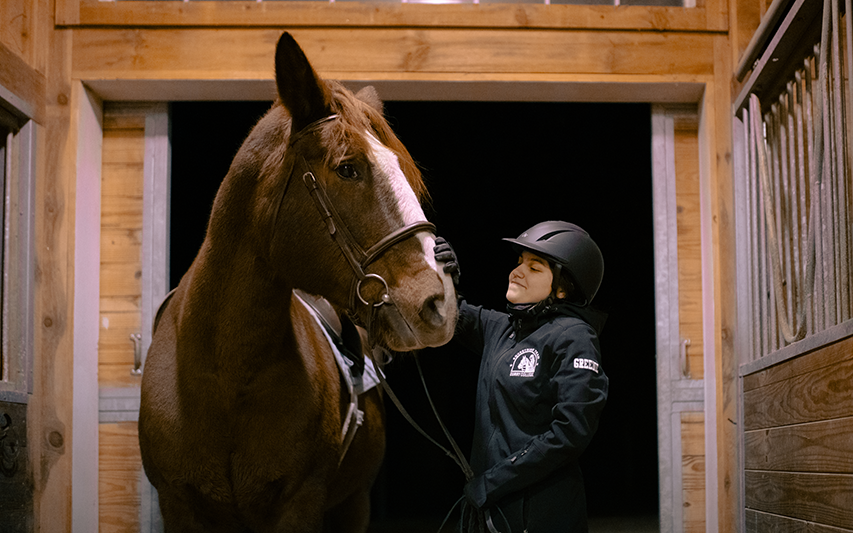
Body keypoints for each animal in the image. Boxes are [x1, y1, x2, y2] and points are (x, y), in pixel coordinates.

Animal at [138, 34, 460, 532]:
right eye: (348, 168)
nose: (439, 302)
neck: (224, 376)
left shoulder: (301, 504)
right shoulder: (179, 505)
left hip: (353, 505)